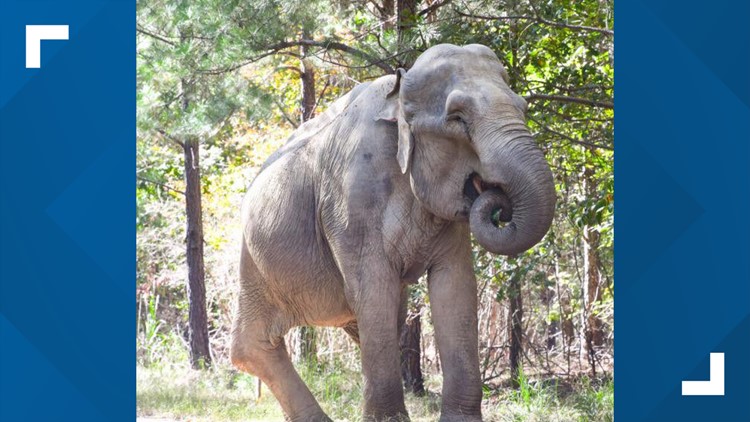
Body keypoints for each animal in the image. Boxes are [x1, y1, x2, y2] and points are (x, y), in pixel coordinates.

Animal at [230, 43, 556, 421]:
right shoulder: (351, 202)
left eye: (523, 107)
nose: (499, 203)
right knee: (253, 343)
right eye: (457, 118)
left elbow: (456, 287)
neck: (399, 91)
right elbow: (374, 288)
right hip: (253, 260)